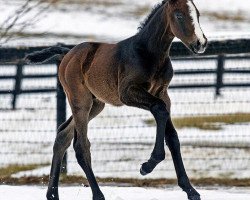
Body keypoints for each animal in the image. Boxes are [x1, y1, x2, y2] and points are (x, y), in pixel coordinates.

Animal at [26, 0, 208, 200]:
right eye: (179, 15)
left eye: (198, 14)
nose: (200, 43)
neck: (149, 53)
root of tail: (67, 54)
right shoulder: (127, 93)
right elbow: (159, 110)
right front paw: (147, 165)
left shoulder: (162, 94)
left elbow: (173, 137)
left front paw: (190, 190)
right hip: (80, 102)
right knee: (81, 146)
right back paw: (98, 195)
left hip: (96, 104)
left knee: (62, 136)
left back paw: (52, 194)